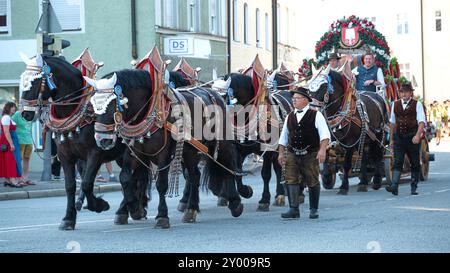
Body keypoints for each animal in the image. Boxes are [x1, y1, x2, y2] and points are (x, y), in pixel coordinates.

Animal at [19, 54, 148, 228]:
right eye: (22, 79)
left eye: (35, 80)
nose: (25, 113)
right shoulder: (66, 156)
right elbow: (71, 186)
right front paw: (68, 217)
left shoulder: (95, 154)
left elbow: (87, 183)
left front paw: (99, 205)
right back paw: (129, 209)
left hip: (131, 153)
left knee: (132, 178)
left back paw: (132, 209)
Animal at [89, 69, 246, 226]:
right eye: (94, 106)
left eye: (111, 104)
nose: (102, 140)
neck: (150, 112)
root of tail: (214, 94)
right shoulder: (134, 152)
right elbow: (125, 178)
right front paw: (133, 208)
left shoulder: (163, 154)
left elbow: (161, 184)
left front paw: (162, 216)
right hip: (190, 150)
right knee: (195, 175)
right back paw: (191, 209)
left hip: (221, 142)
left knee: (228, 165)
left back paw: (235, 203)